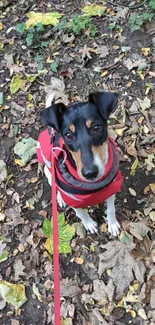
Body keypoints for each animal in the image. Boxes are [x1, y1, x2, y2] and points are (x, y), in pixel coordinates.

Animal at [36, 91, 122, 235]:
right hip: (49, 171)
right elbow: (81, 213)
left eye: (97, 127)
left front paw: (112, 224)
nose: (90, 173)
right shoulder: (73, 200)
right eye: (68, 134)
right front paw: (89, 224)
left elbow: (111, 209)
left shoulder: (112, 188)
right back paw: (59, 197)